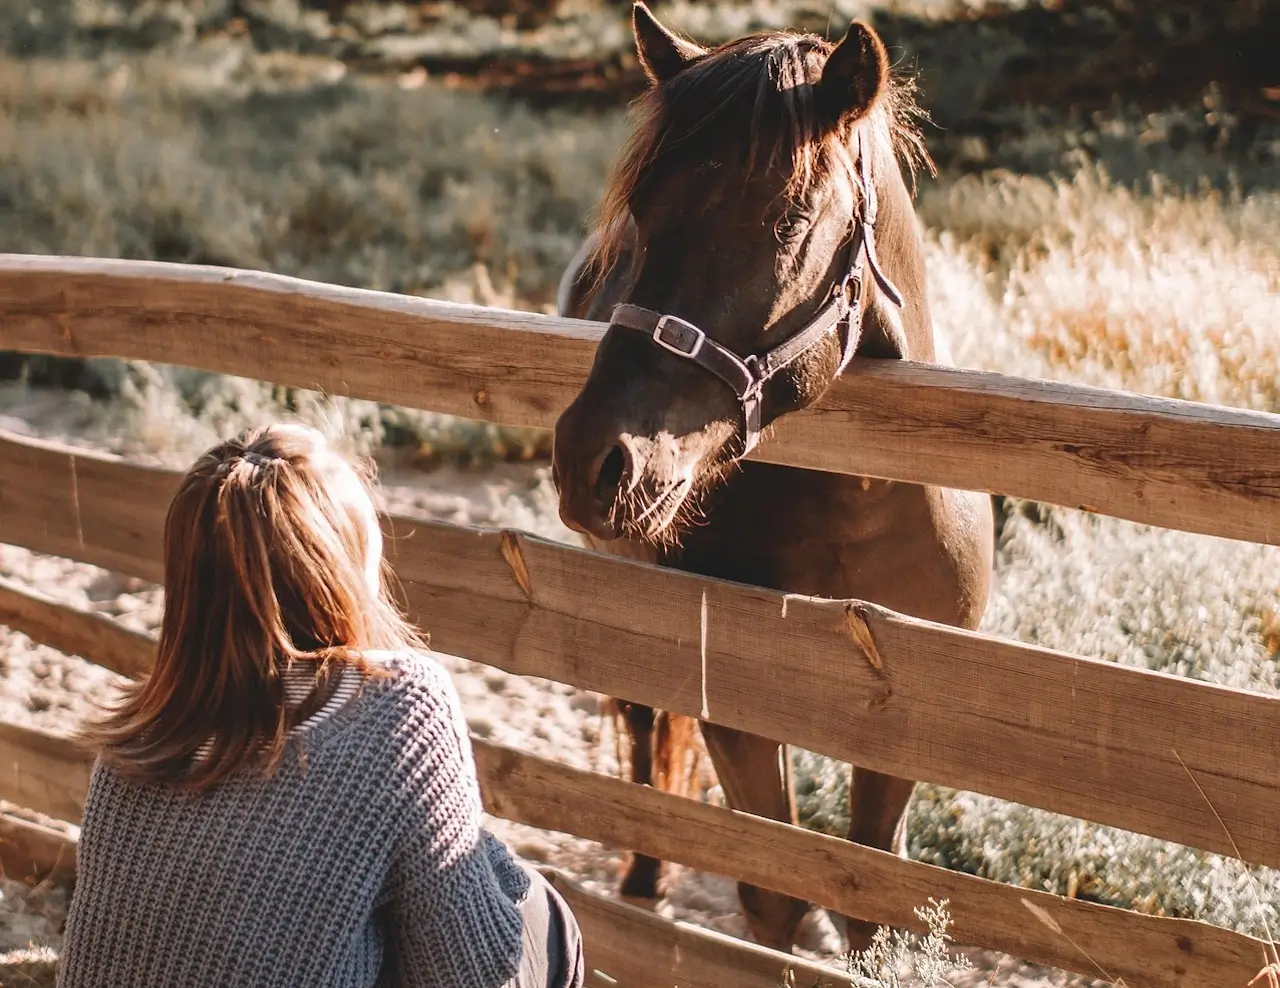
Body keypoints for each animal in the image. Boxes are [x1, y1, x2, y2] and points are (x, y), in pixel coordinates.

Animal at [551, 3, 995, 954]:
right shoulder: (743, 716)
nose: (593, 459)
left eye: (789, 219)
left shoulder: (906, 717)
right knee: (639, 724)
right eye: (640, 210)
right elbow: (774, 894)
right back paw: (643, 875)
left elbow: (865, 903)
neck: (860, 503)